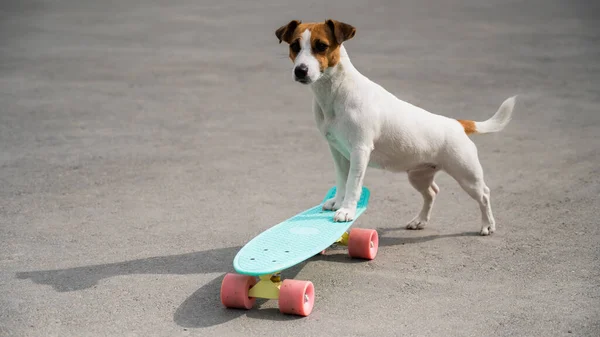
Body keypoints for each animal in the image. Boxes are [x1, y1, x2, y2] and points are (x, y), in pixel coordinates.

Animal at [276, 18, 516, 234]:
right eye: (294, 46)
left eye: (321, 46)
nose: (301, 70)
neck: (336, 92)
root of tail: (457, 124)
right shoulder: (337, 151)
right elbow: (342, 180)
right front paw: (337, 202)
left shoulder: (360, 151)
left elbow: (353, 184)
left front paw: (346, 211)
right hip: (418, 175)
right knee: (432, 193)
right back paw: (420, 221)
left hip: (467, 175)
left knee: (484, 194)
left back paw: (487, 225)